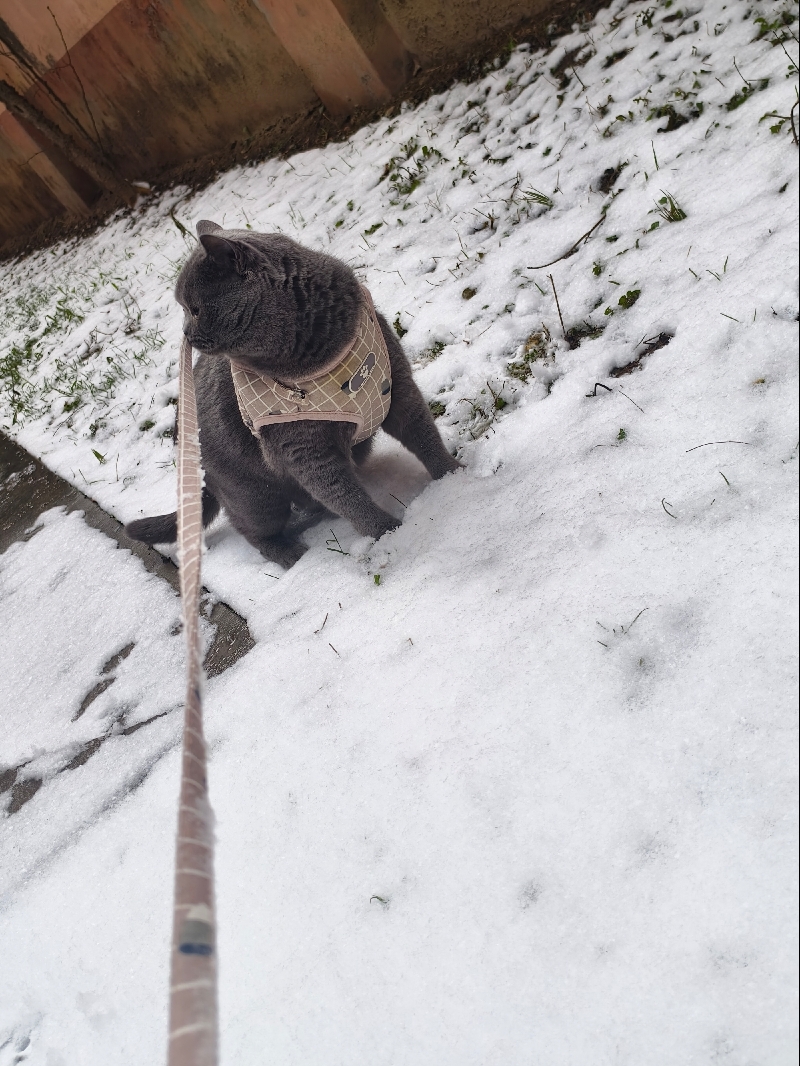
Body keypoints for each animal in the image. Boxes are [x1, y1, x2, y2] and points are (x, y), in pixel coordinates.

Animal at [127, 221, 460, 571]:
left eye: (194, 309)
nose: (185, 334)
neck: (321, 353)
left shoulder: (398, 387)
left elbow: (424, 436)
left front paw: (454, 477)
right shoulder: (302, 449)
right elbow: (346, 497)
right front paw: (390, 533)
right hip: (252, 494)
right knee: (255, 531)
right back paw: (292, 556)